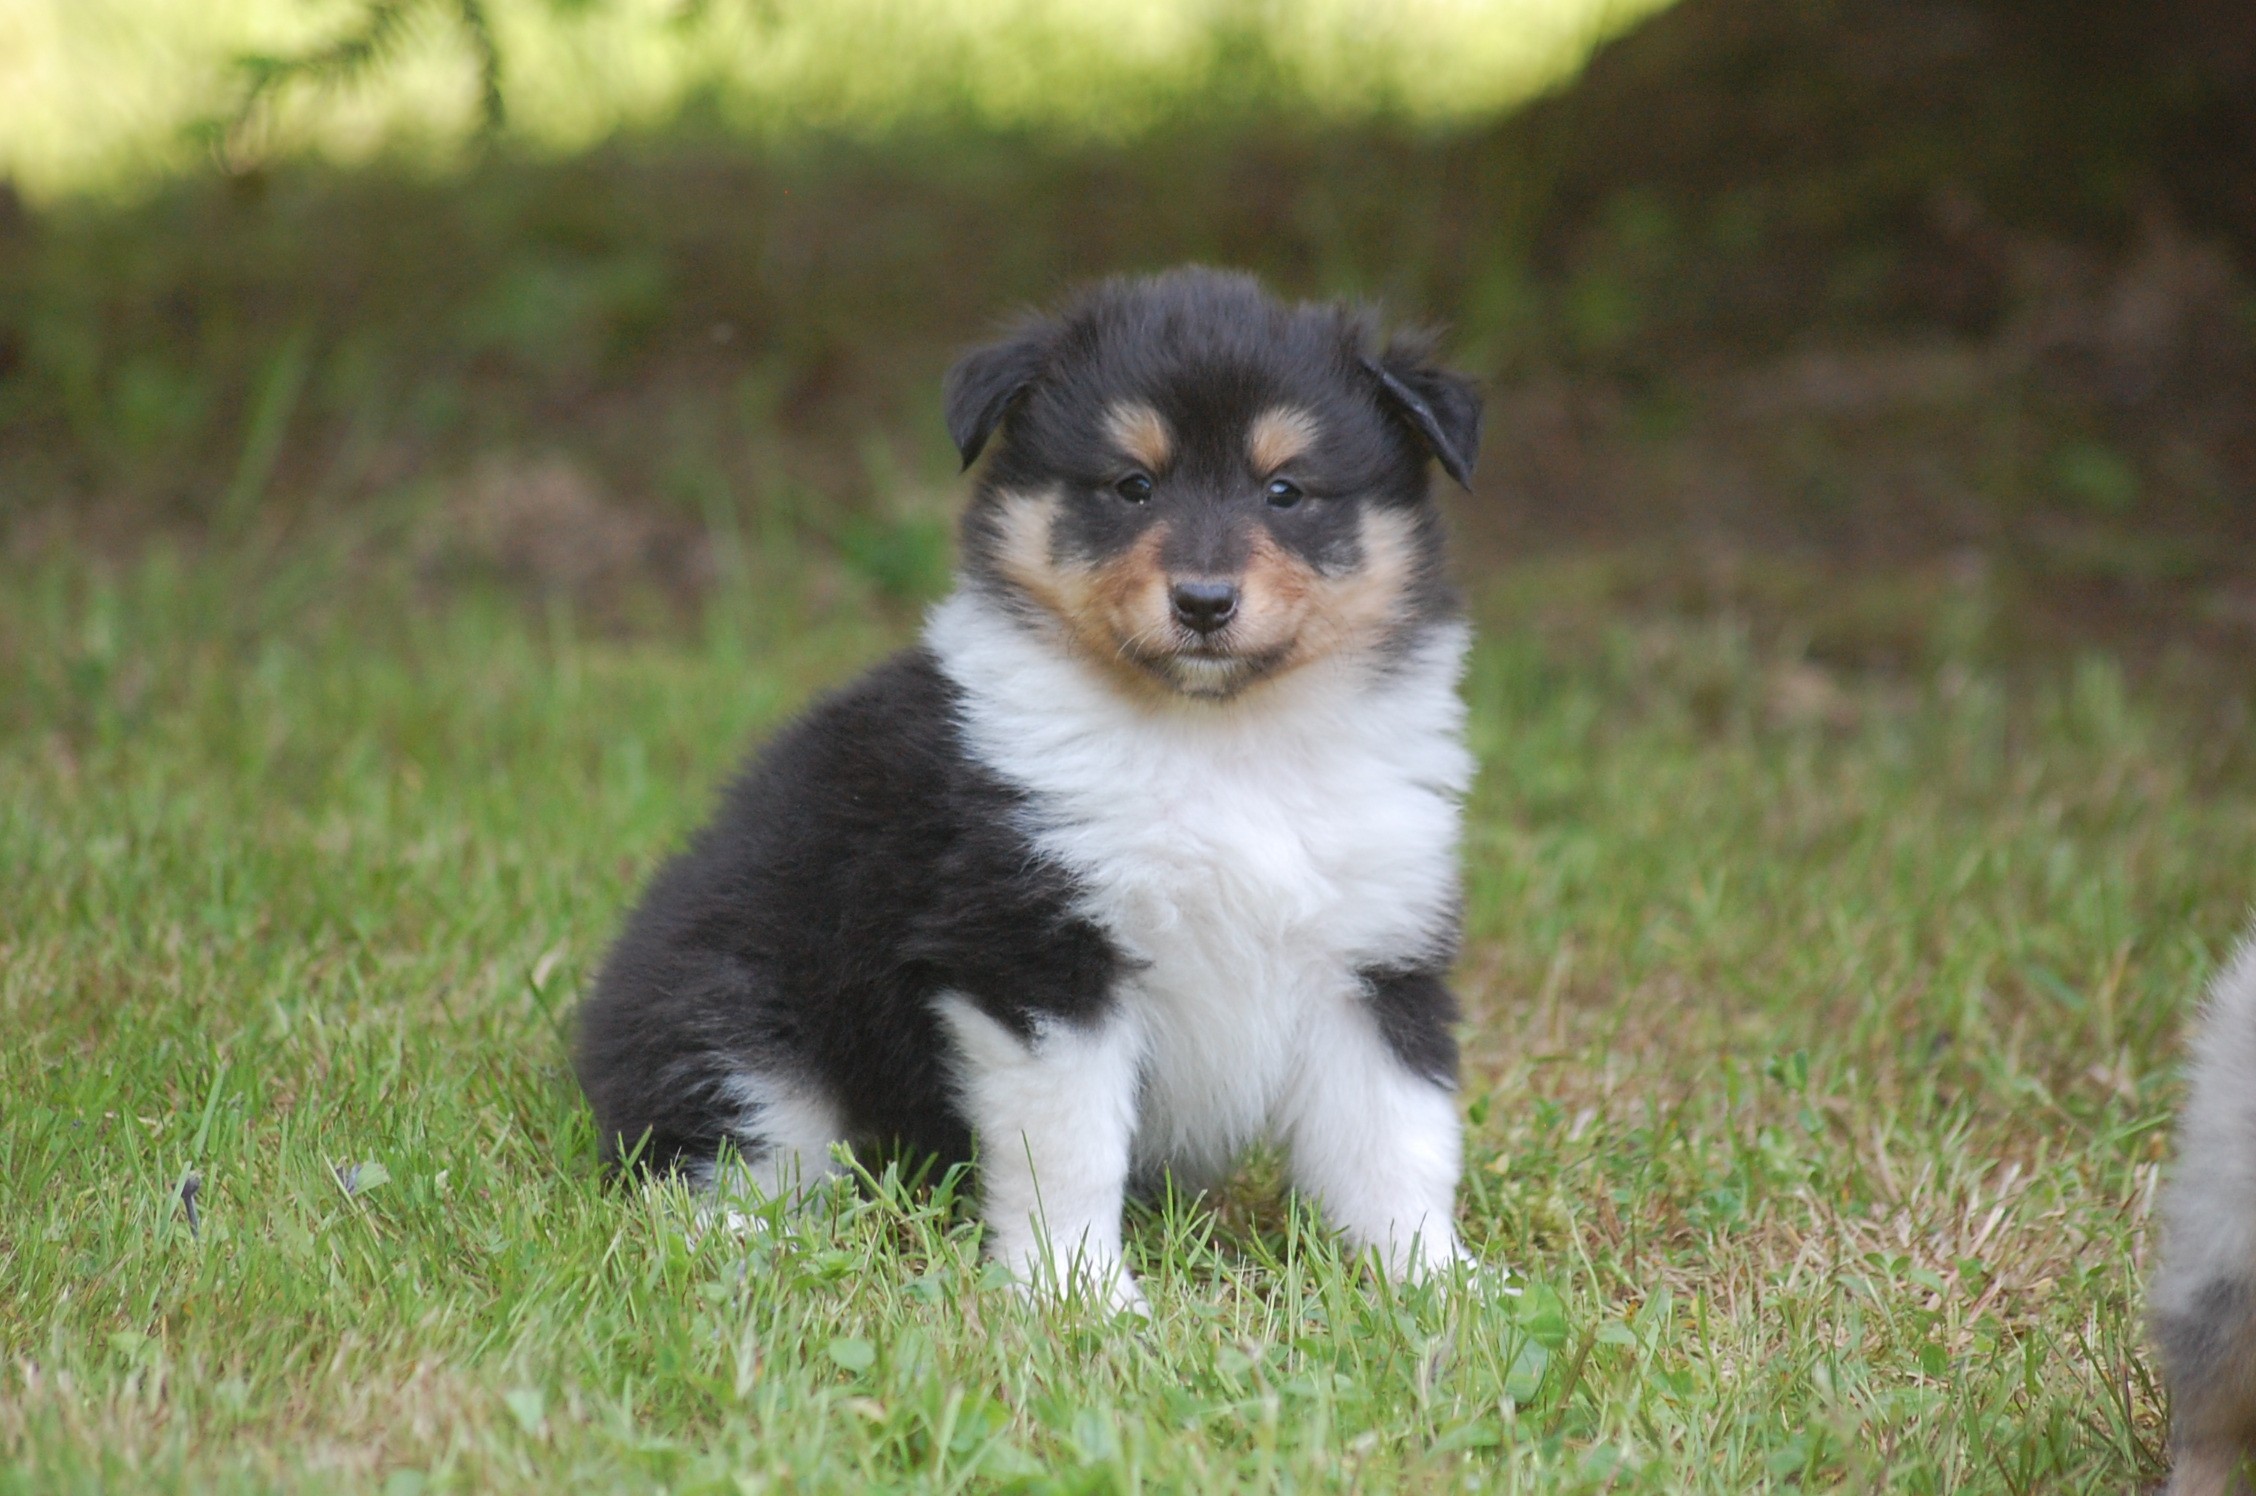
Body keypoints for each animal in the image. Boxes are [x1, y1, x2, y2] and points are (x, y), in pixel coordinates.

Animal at [586, 266, 1479, 1308]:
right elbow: (1069, 1150)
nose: (1204, 603)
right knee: (715, 1161)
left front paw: (1446, 1287)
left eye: (1287, 489)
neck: (1222, 740)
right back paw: (749, 1249)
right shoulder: (1034, 954)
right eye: (1132, 485)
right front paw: (1080, 1295)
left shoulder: (1375, 961)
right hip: (740, 1026)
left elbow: (1399, 1145)